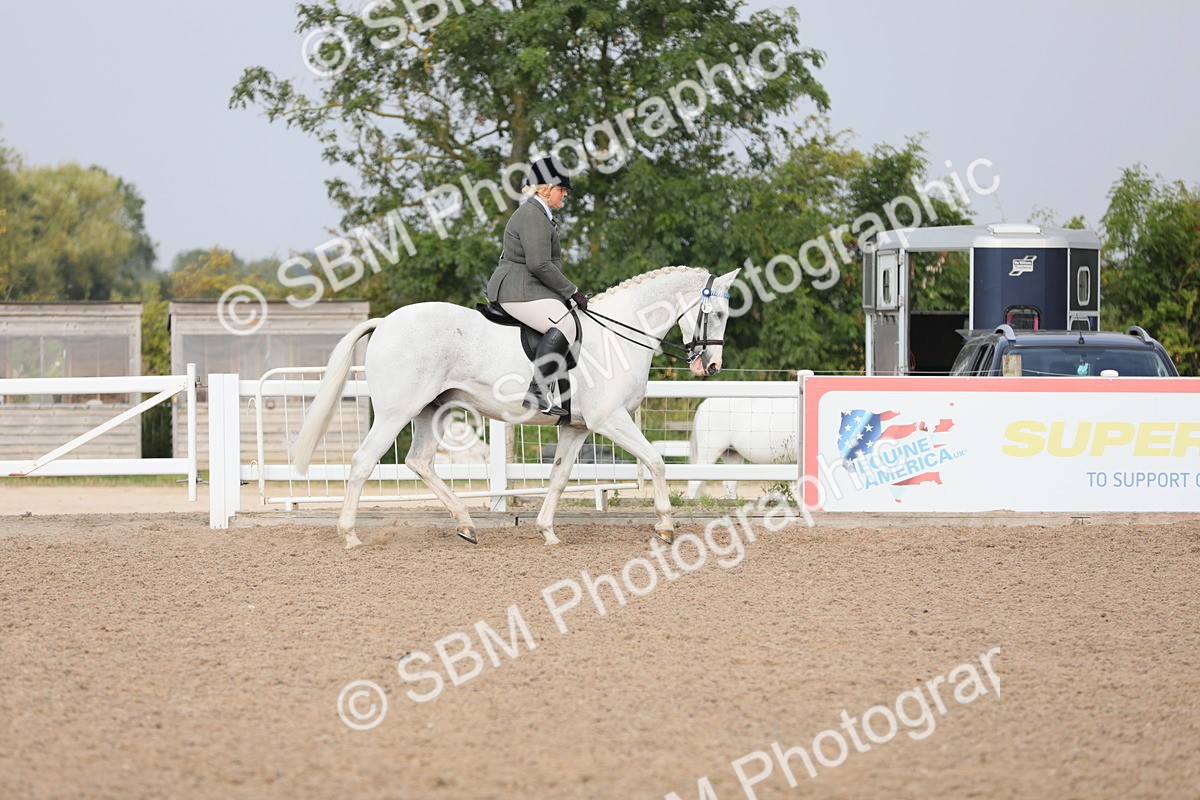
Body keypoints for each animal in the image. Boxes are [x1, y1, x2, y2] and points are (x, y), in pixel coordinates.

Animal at [293, 266, 741, 549]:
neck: (619, 334)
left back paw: (467, 525)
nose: (711, 366)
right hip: (395, 412)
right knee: (363, 462)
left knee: (420, 462)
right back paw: (350, 535)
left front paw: (547, 532)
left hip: (432, 410)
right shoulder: (609, 420)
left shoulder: (576, 427)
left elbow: (559, 477)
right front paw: (665, 529)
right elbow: (657, 462)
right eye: (718, 313)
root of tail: (385, 321)